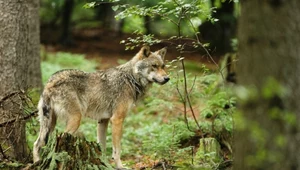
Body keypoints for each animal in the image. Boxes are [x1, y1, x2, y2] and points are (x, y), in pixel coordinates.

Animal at [32, 45, 169, 169]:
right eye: (154, 66)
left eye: (163, 66)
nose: (167, 78)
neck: (130, 79)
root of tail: (50, 82)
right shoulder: (117, 119)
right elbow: (117, 150)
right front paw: (120, 166)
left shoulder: (103, 120)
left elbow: (102, 147)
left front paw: (104, 163)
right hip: (75, 120)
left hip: (50, 124)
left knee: (36, 144)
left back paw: (36, 163)